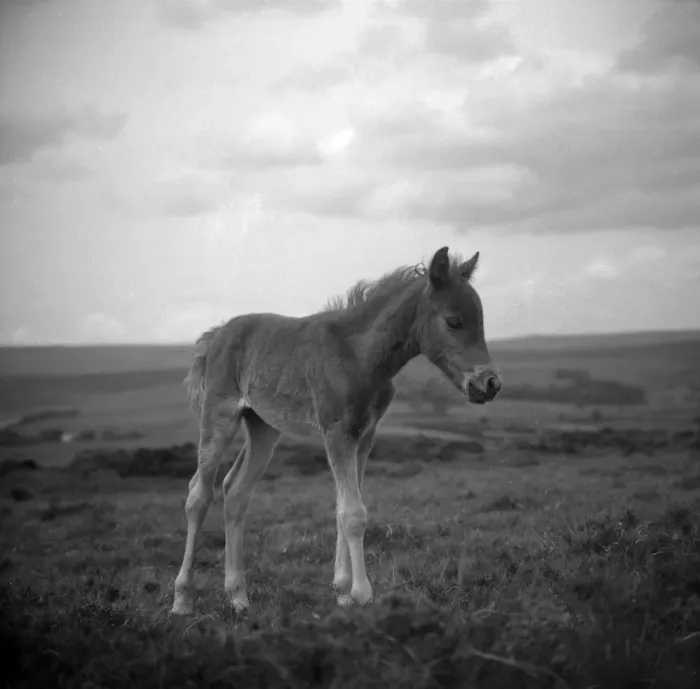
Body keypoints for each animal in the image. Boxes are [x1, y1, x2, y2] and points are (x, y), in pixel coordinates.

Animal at [172, 246, 502, 615]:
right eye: (453, 321)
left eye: (481, 321)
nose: (489, 384)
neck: (360, 356)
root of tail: (216, 335)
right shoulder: (337, 432)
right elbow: (353, 513)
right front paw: (362, 593)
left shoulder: (364, 435)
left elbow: (345, 506)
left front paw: (343, 592)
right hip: (219, 416)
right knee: (199, 496)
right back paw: (182, 599)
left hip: (263, 427)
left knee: (236, 492)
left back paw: (239, 597)